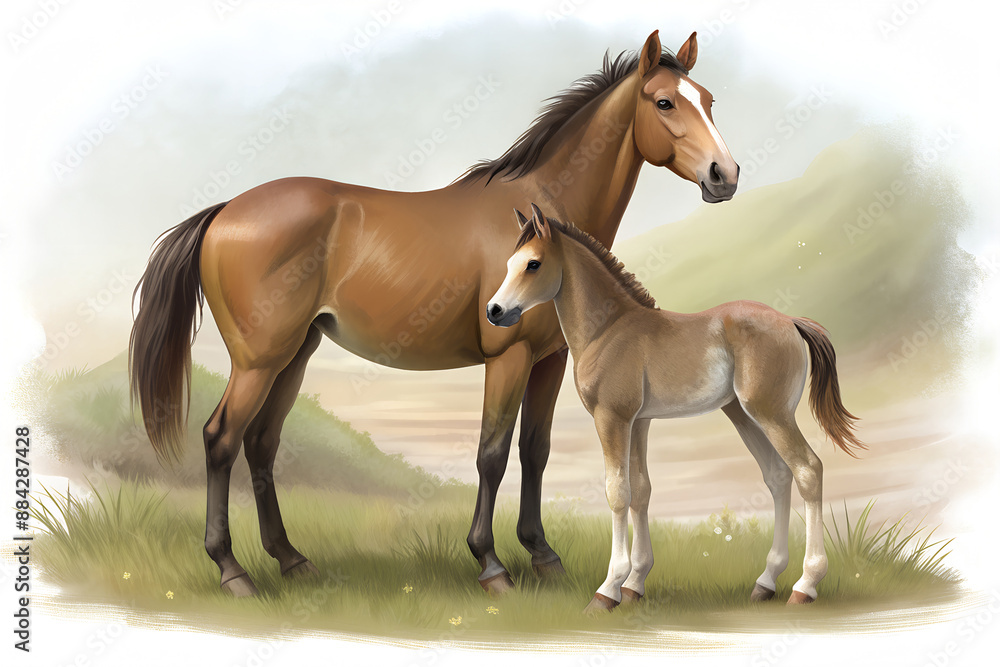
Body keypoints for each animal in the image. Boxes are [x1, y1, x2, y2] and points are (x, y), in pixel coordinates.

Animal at [129, 29, 740, 598]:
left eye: (709, 99)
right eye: (664, 102)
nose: (724, 175)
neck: (541, 218)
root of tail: (224, 211)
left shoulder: (550, 359)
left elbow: (534, 451)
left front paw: (543, 557)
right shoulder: (509, 356)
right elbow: (492, 454)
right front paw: (491, 564)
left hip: (296, 355)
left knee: (261, 443)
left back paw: (293, 560)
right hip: (259, 361)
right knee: (220, 439)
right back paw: (233, 571)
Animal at [486, 205, 863, 610]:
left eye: (533, 264)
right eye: (508, 263)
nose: (494, 311)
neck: (609, 329)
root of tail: (791, 321)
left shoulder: (612, 418)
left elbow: (618, 493)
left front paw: (607, 590)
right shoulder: (639, 422)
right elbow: (641, 490)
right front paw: (634, 585)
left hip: (771, 414)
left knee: (808, 469)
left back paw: (805, 585)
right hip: (742, 415)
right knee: (778, 476)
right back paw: (765, 583)